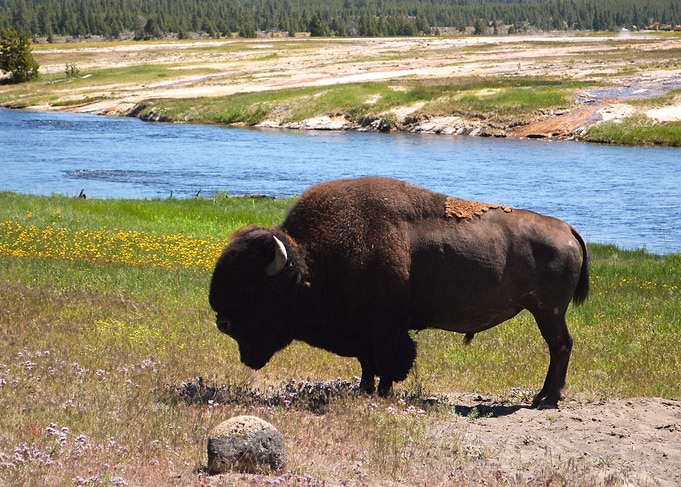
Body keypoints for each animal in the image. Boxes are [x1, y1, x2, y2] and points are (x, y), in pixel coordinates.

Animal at [209, 177, 589, 408]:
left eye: (251, 286)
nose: (221, 321)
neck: (313, 261)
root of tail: (567, 229)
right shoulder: (363, 330)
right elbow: (367, 363)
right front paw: (364, 389)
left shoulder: (385, 326)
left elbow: (389, 360)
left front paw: (383, 392)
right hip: (545, 311)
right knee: (560, 347)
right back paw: (543, 397)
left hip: (548, 311)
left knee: (561, 346)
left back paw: (546, 399)